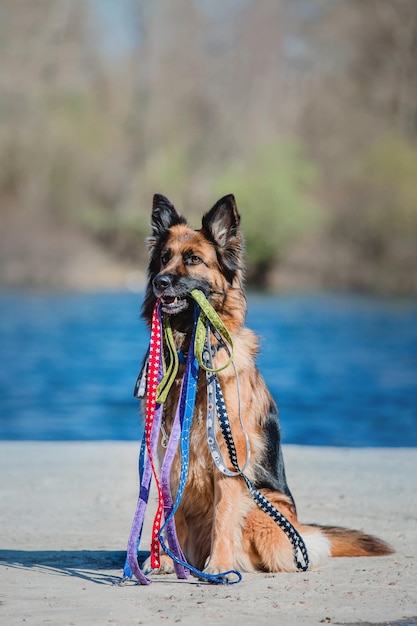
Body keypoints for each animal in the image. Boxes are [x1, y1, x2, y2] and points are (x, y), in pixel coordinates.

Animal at [141, 193, 394, 576]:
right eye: (163, 258)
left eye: (193, 259)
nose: (161, 282)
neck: (192, 351)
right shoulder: (169, 451)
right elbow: (173, 511)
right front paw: (169, 561)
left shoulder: (230, 458)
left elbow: (224, 516)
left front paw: (219, 565)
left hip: (263, 509)